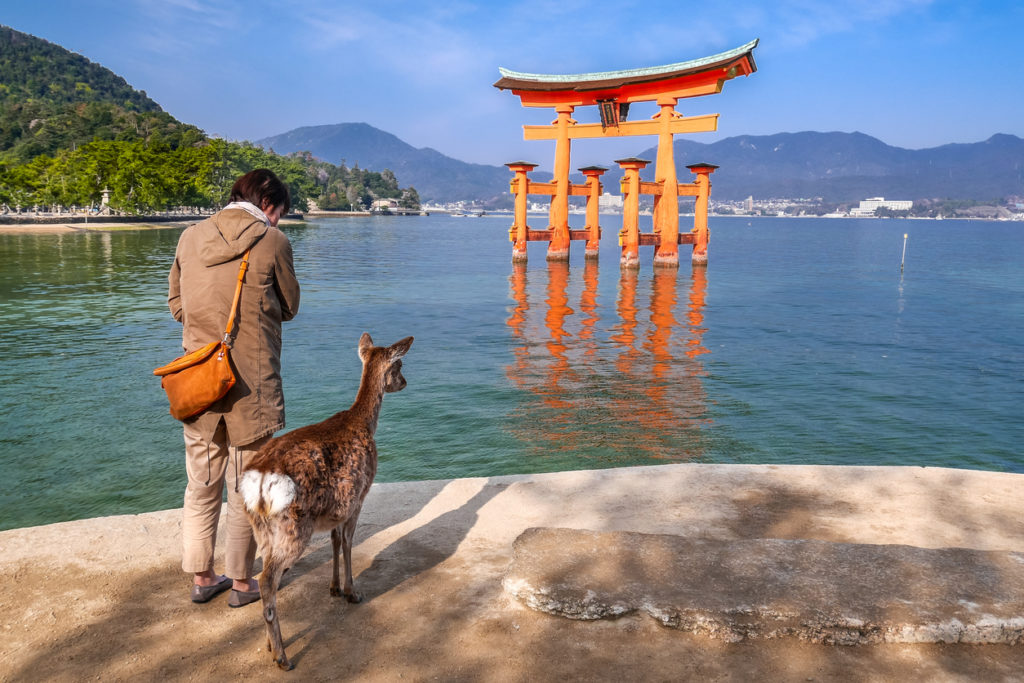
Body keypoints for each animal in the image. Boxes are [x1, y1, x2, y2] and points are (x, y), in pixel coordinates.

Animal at [239, 333, 411, 671]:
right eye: (398, 366)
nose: (405, 382)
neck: (364, 423)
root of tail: (261, 480)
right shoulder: (359, 496)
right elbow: (347, 543)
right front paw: (352, 592)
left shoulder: (334, 510)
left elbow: (333, 541)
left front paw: (333, 588)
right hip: (294, 525)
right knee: (267, 580)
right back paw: (282, 656)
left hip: (261, 527)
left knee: (267, 576)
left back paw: (270, 644)